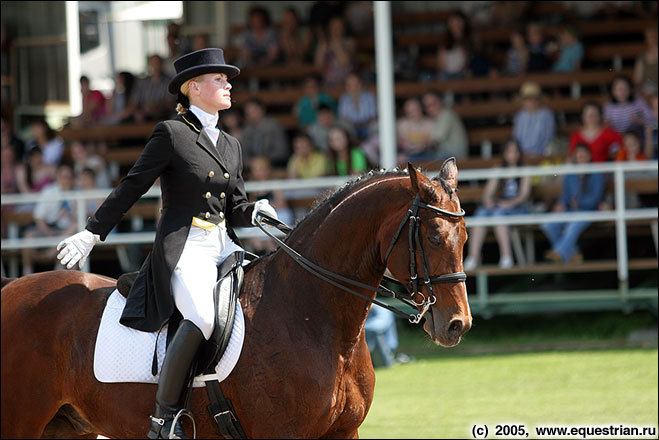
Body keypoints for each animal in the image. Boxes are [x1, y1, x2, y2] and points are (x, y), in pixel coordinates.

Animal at [2, 162, 472, 440]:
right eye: (433, 236)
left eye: (465, 237)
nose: (457, 325)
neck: (314, 317)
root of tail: (11, 287)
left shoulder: (343, 433)